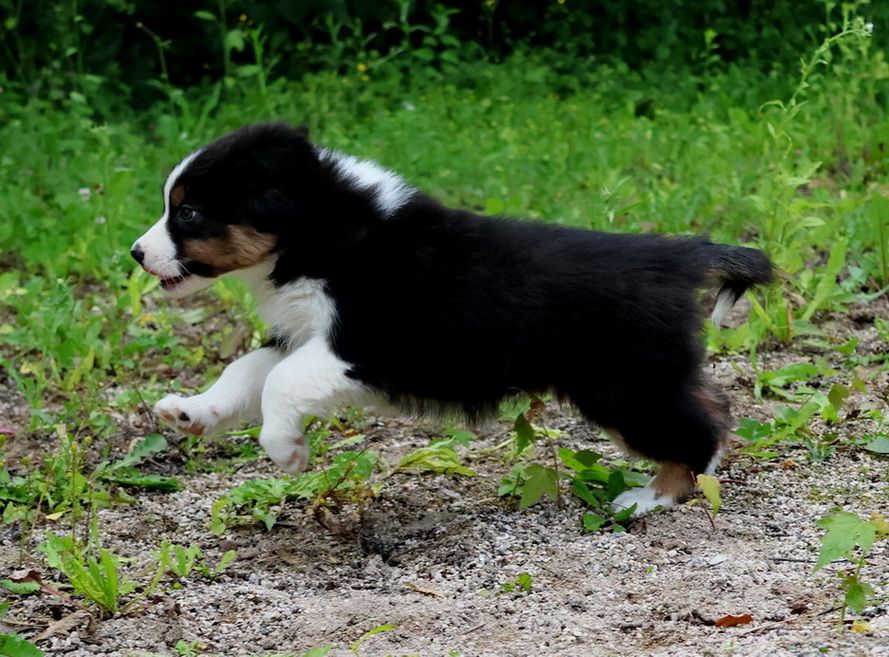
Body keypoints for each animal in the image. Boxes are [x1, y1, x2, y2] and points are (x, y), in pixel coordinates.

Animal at [131, 123, 772, 516]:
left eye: (188, 213)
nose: (136, 253)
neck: (320, 232)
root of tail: (676, 256)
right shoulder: (303, 333)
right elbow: (247, 370)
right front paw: (191, 413)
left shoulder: (364, 343)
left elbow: (281, 385)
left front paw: (286, 452)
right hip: (642, 378)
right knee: (712, 406)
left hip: (622, 387)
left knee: (700, 428)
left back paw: (652, 498)